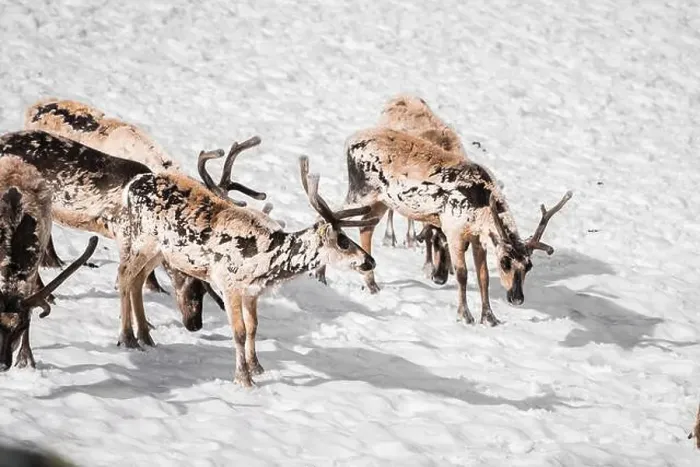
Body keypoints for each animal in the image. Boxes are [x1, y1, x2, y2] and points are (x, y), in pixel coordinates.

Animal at [116, 151, 378, 386]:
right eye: (342, 241)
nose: (371, 261)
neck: (266, 260)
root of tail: (132, 185)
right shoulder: (229, 284)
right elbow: (239, 332)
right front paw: (243, 378)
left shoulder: (252, 292)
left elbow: (253, 327)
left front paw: (256, 366)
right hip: (143, 239)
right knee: (124, 275)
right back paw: (127, 337)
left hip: (159, 251)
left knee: (137, 279)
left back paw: (145, 337)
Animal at [330, 127, 572, 325]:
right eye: (504, 262)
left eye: (529, 266)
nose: (517, 298)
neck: (481, 206)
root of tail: (349, 141)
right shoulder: (454, 232)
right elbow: (462, 274)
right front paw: (465, 315)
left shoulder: (478, 239)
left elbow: (483, 277)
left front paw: (489, 317)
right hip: (360, 191)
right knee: (333, 214)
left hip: (381, 201)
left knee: (365, 228)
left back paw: (371, 284)